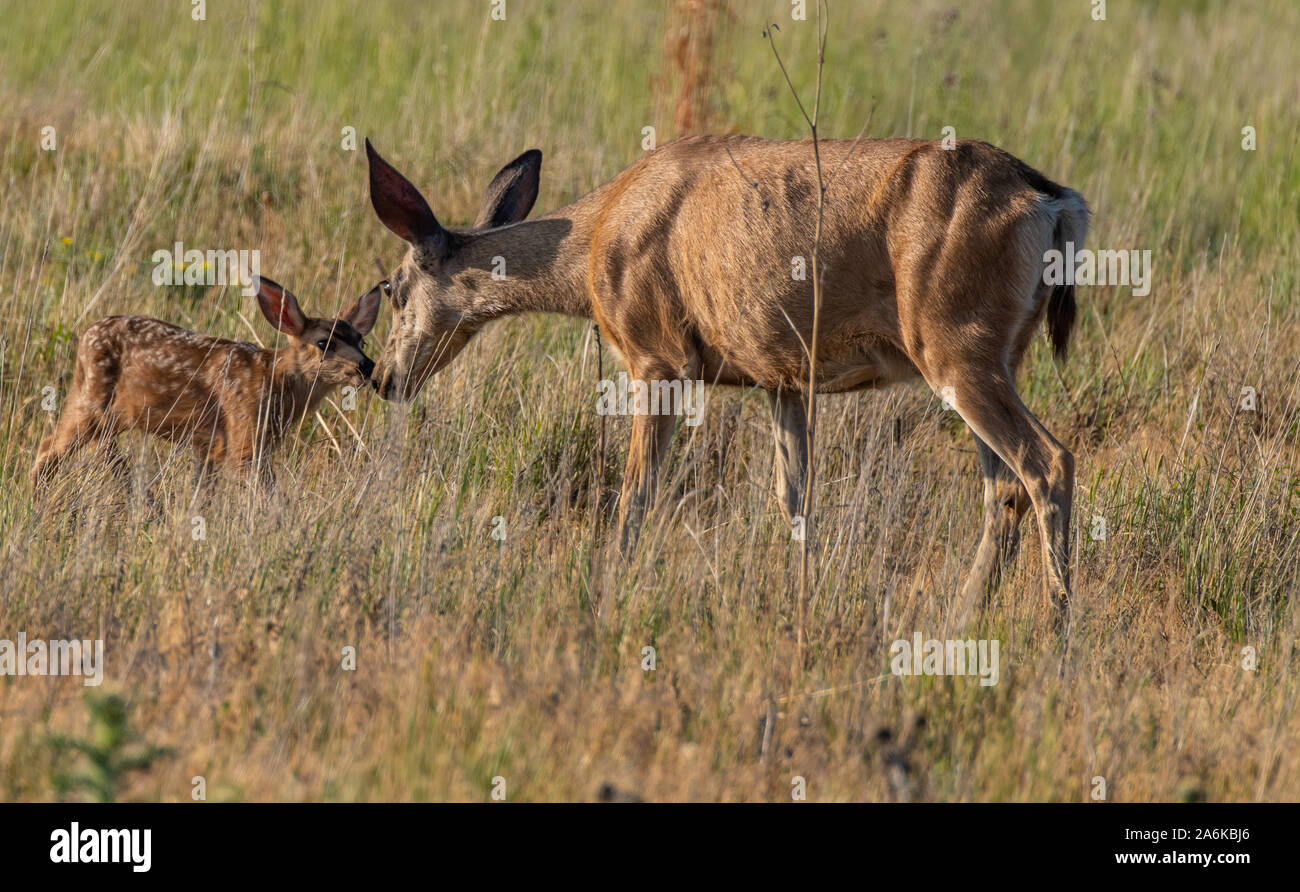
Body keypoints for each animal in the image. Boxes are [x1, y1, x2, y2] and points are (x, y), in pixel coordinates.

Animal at [32, 276, 382, 492]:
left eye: (361, 339)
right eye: (324, 342)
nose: (367, 365)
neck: (275, 378)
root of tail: (85, 338)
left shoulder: (217, 446)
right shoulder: (244, 436)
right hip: (93, 399)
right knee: (48, 447)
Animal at [362, 134, 1089, 620]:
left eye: (392, 290)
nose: (384, 379)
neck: (594, 240)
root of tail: (1055, 202)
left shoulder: (657, 356)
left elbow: (635, 498)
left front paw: (607, 596)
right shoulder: (782, 377)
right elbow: (795, 499)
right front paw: (802, 602)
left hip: (955, 346)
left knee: (1048, 462)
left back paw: (1057, 631)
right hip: (990, 356)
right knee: (1003, 489)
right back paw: (962, 621)